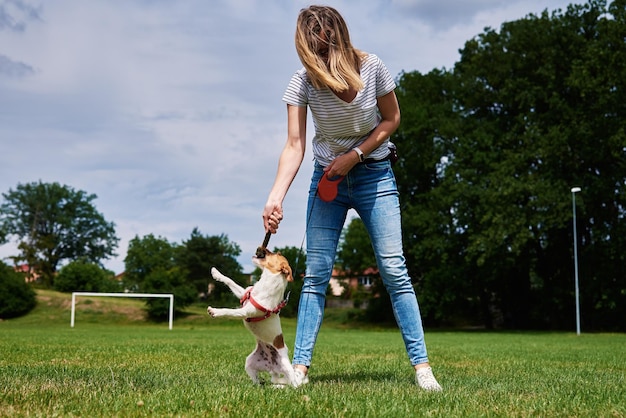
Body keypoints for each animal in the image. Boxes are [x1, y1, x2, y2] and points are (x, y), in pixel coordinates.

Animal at [206, 248, 296, 388]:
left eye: (275, 254)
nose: (262, 249)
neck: (265, 285)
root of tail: (273, 367)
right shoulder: (243, 293)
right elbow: (230, 281)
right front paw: (216, 273)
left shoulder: (246, 311)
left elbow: (229, 311)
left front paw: (215, 311)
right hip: (250, 362)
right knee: (258, 380)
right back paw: (261, 385)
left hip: (286, 366)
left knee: (293, 384)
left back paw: (280, 387)